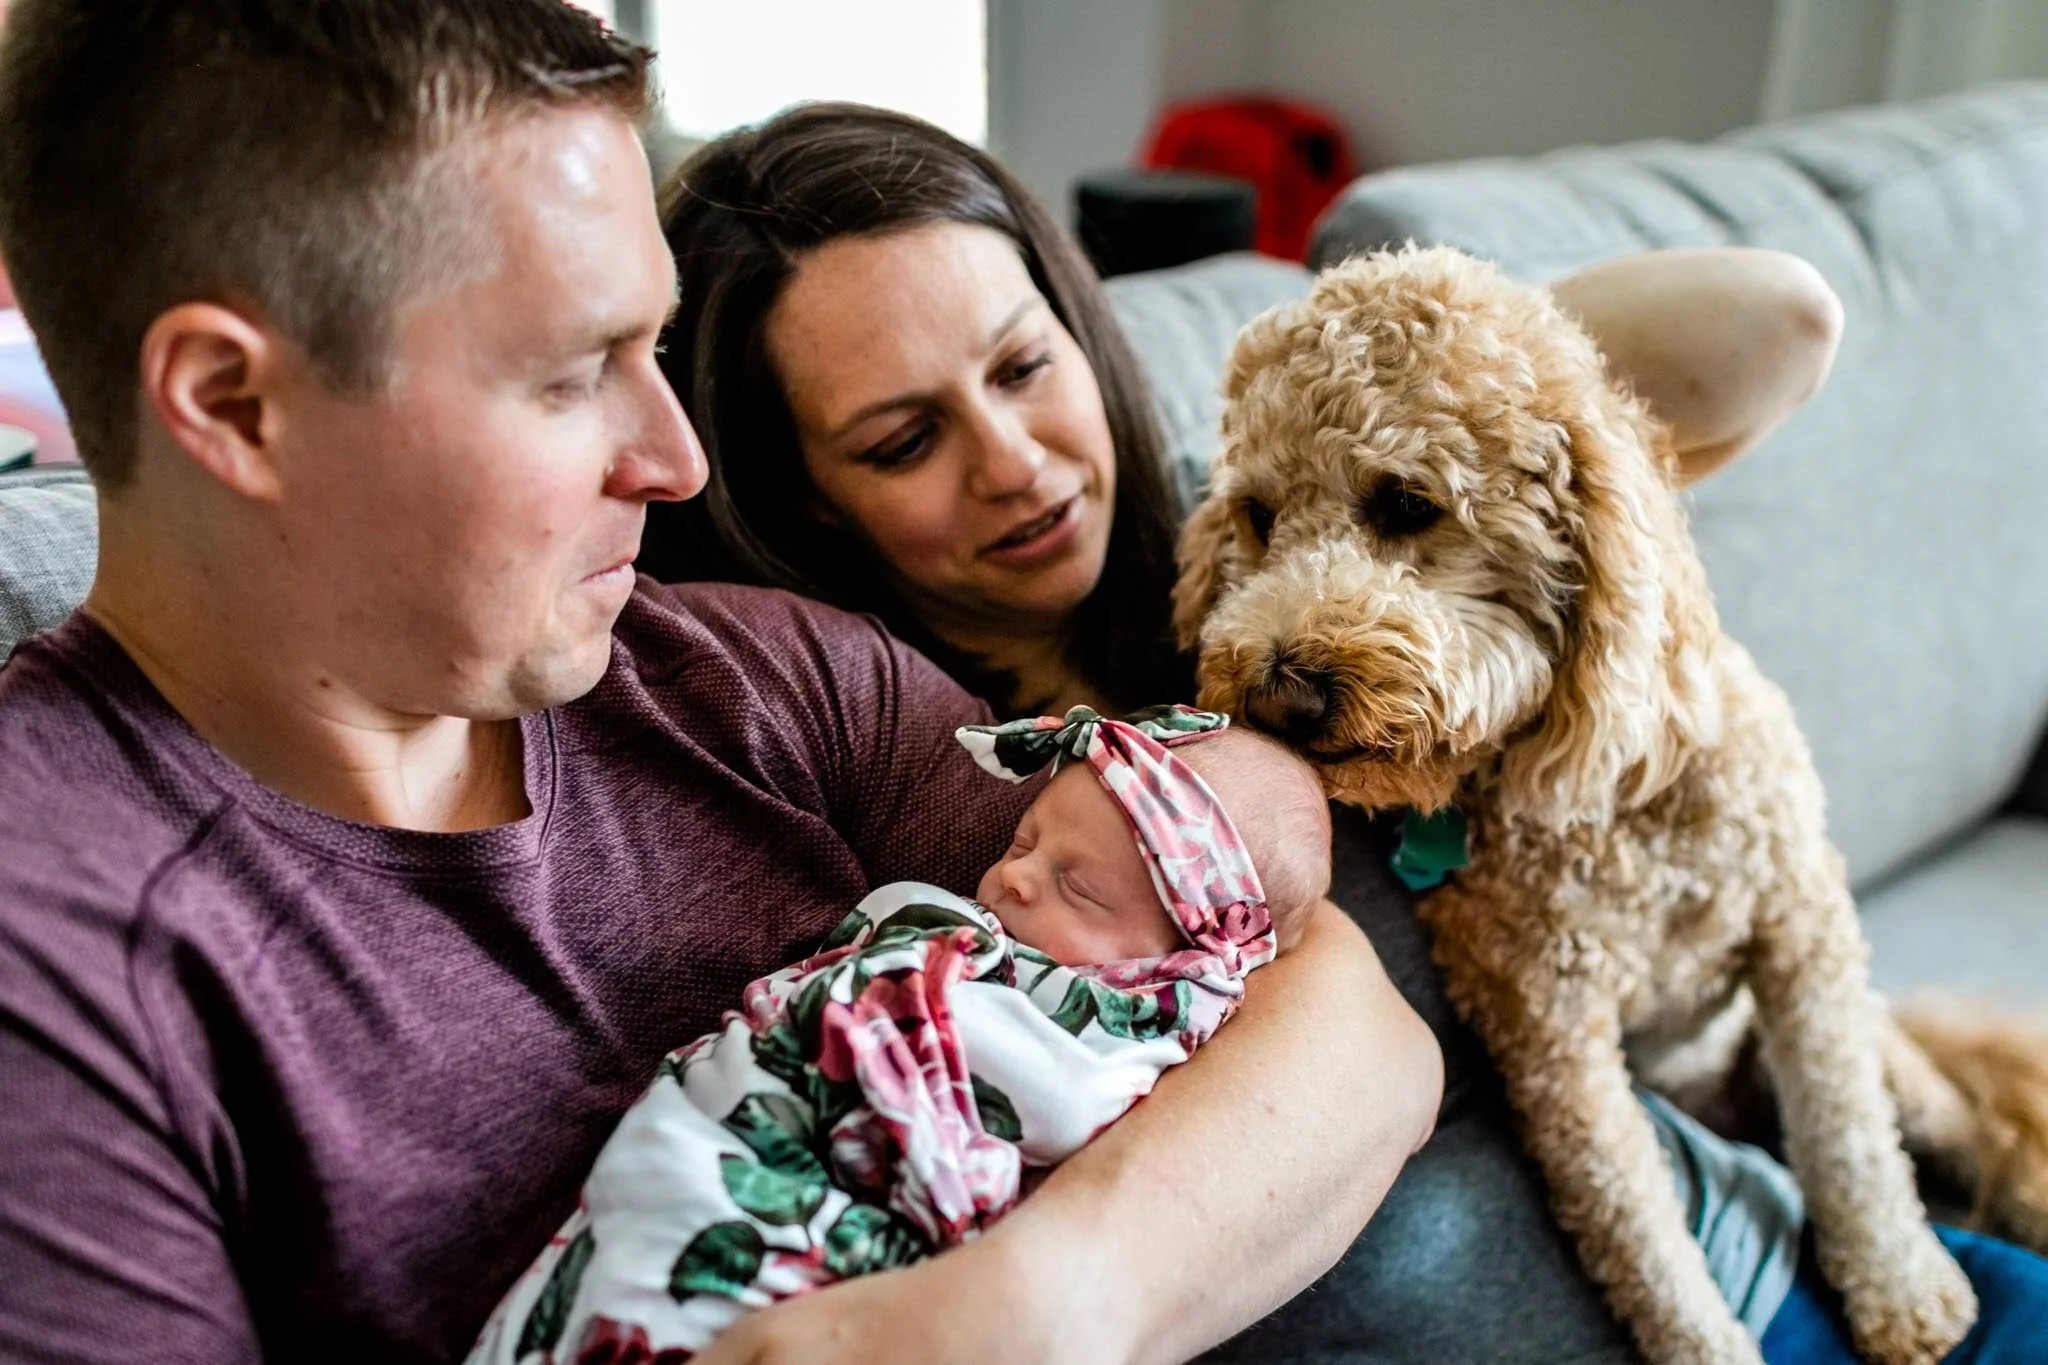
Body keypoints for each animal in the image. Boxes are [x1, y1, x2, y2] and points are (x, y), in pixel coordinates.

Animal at [1171, 248, 2048, 1365]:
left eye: (1406, 504)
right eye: (1258, 516)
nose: (1279, 692)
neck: (1604, 812)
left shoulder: (1802, 933)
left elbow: (1845, 1134)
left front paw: (1900, 1288)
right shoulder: (1558, 1050)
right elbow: (1644, 1242)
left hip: (1887, 1057)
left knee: (1956, 1121)